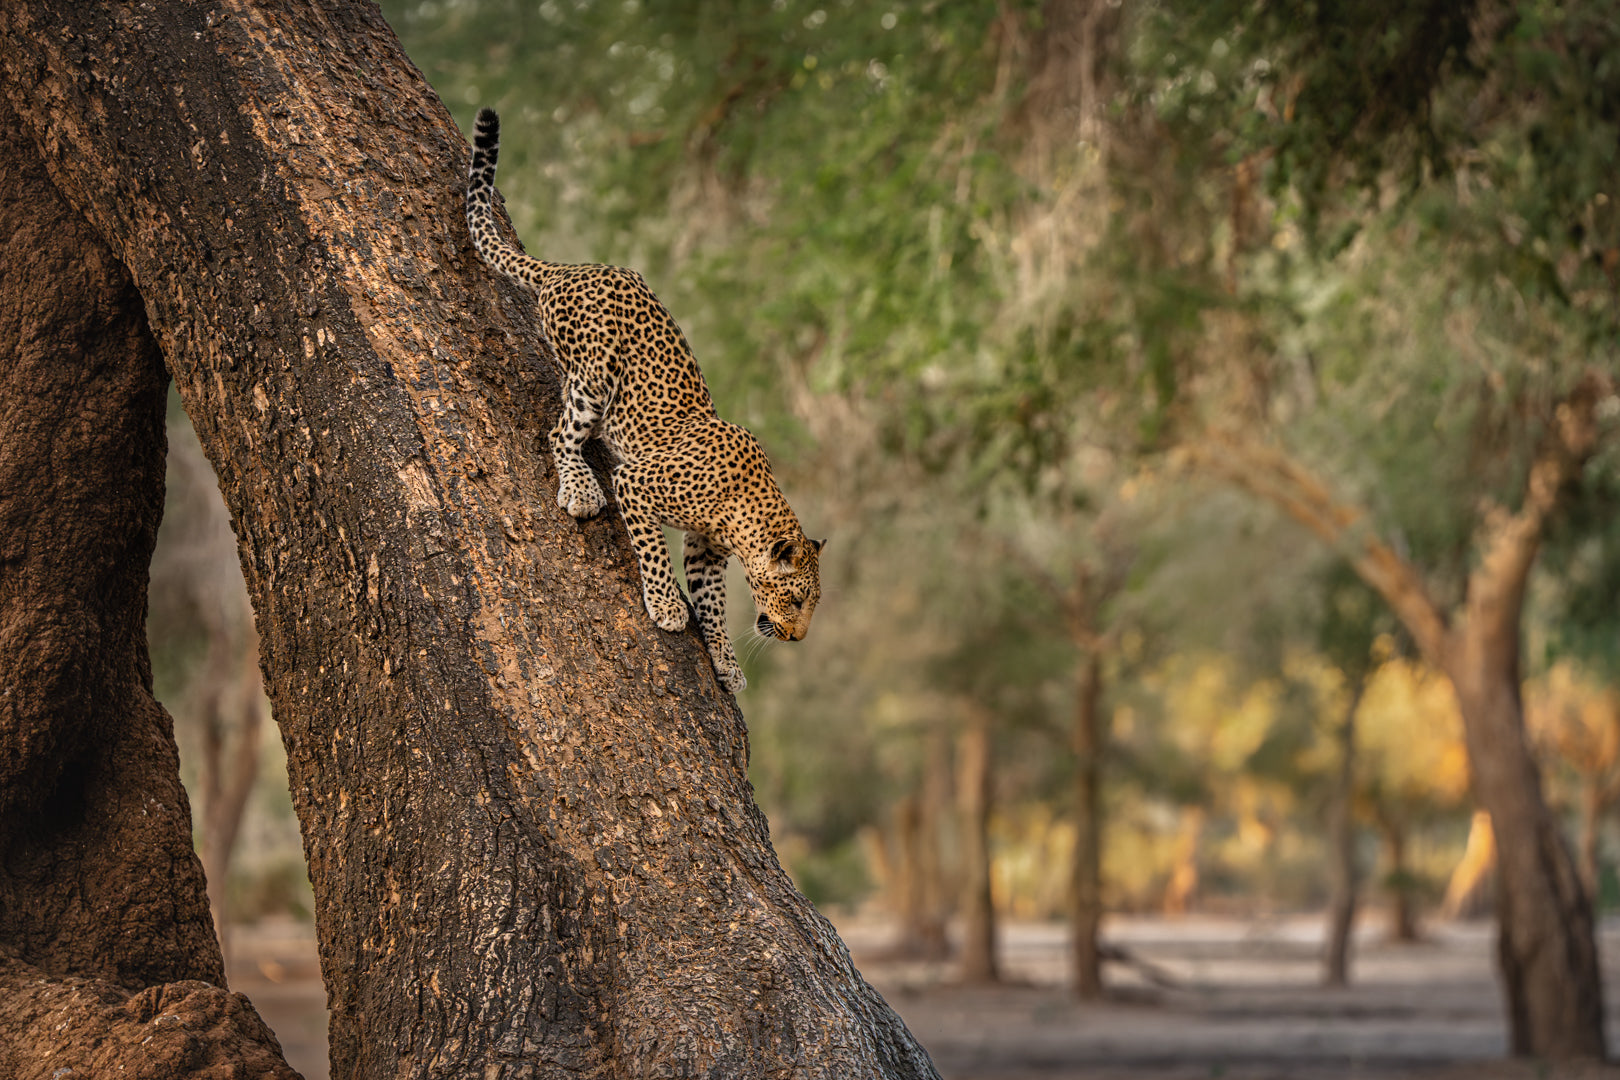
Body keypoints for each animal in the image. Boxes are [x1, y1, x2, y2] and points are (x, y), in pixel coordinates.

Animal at [465, 107, 822, 694]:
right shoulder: (638, 483)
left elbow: (715, 606)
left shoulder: (706, 551)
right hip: (596, 370)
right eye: (795, 599)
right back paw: (581, 488)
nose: (796, 638)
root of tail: (572, 269)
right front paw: (668, 607)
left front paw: (725, 662)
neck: (743, 516)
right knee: (560, 432)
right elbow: (653, 551)